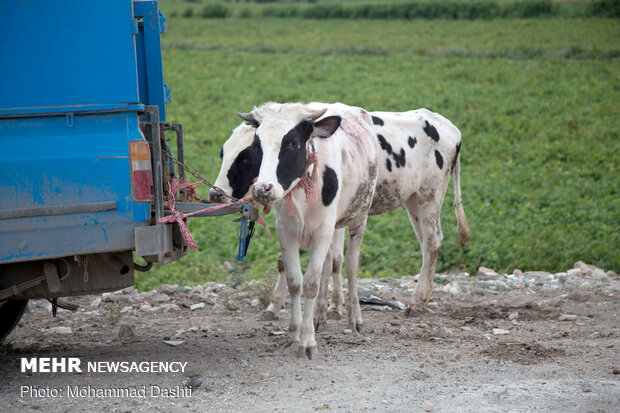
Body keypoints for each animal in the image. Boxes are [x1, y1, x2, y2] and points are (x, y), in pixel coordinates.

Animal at [219, 100, 382, 358]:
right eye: (257, 147)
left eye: (293, 143)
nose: (262, 189)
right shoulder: (286, 231)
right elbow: (295, 282)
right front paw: (294, 334)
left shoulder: (323, 230)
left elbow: (311, 284)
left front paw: (307, 341)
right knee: (328, 264)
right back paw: (320, 316)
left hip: (359, 217)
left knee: (351, 267)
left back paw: (354, 318)